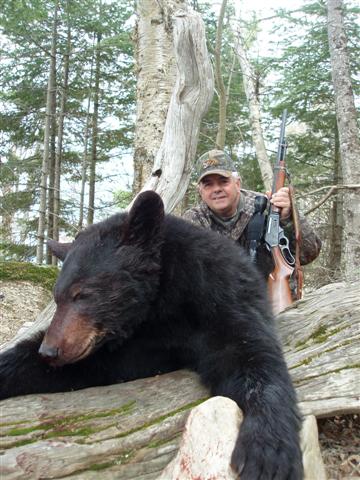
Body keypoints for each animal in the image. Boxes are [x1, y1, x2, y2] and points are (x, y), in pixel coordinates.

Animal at [0, 189, 304, 478]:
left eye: (82, 294)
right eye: (57, 297)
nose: (50, 351)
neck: (161, 300)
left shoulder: (220, 297)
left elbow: (249, 355)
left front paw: (268, 450)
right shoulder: (129, 342)